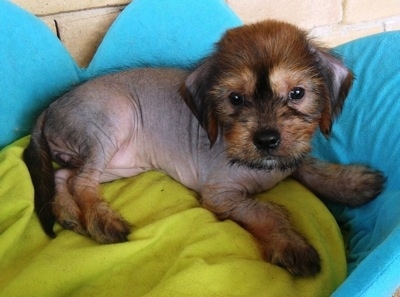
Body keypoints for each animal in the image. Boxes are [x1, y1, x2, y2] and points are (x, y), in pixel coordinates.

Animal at [22, 20, 384, 276]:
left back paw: (68, 214)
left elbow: (310, 166)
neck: (259, 164)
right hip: (112, 125)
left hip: (119, 162)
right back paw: (101, 220)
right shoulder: (220, 195)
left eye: (297, 94)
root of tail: (49, 107)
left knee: (65, 177)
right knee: (82, 182)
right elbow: (267, 210)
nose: (267, 140)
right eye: (235, 99)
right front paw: (291, 244)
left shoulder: (290, 155)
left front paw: (351, 184)